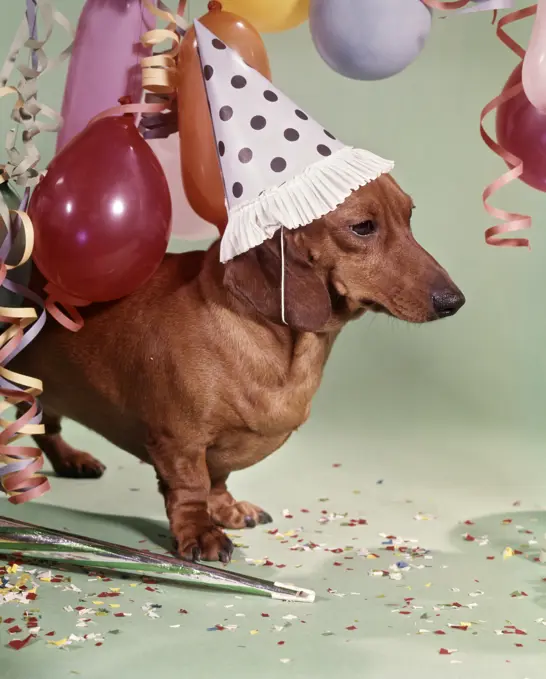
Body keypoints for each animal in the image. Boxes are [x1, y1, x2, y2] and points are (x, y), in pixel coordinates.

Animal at [11, 175, 464, 564]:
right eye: (363, 227)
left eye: (409, 216)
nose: (454, 301)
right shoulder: (178, 442)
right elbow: (191, 488)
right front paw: (200, 533)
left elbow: (217, 479)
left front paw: (227, 510)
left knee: (43, 424)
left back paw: (70, 459)